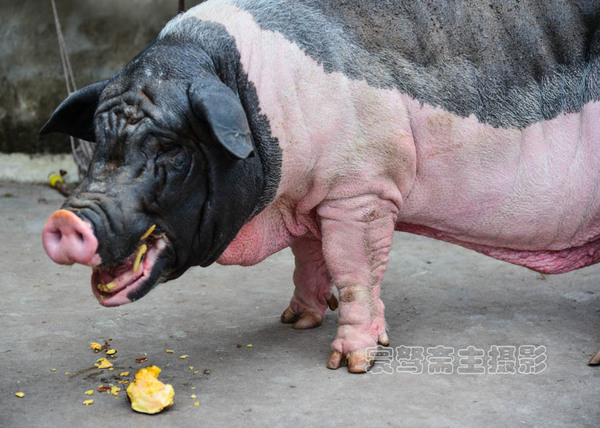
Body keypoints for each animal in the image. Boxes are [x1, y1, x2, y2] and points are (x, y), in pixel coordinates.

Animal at [41, 0, 600, 372]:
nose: (67, 218)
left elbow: (352, 268)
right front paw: (295, 321)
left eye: (171, 148)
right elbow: (308, 254)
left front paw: (351, 364)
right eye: (99, 138)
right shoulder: (307, 197)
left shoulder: (363, 187)